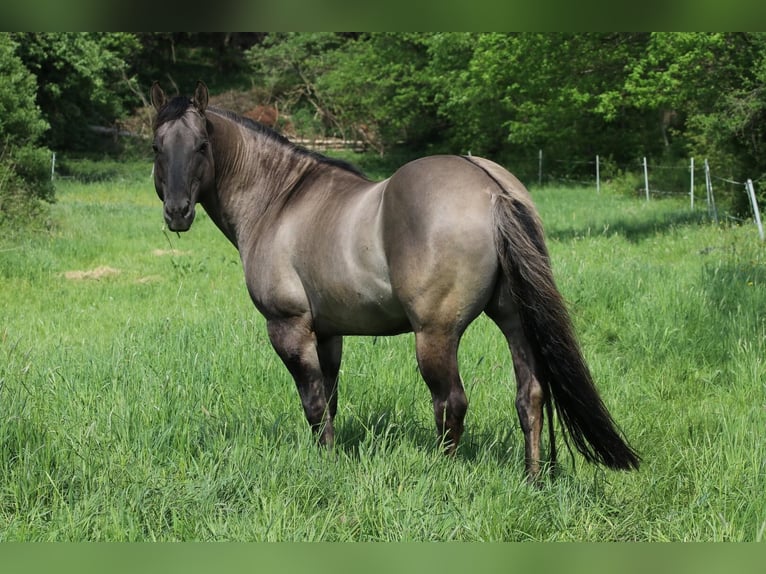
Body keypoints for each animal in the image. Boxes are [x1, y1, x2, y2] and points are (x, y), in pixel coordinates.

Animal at [152, 81, 640, 486]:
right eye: (157, 147)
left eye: (201, 145)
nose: (177, 212)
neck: (280, 201)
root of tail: (491, 189)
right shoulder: (328, 334)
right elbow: (329, 399)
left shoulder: (289, 328)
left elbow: (313, 403)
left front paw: (324, 465)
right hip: (515, 321)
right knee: (530, 396)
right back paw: (532, 479)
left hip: (435, 335)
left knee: (451, 403)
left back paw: (443, 475)